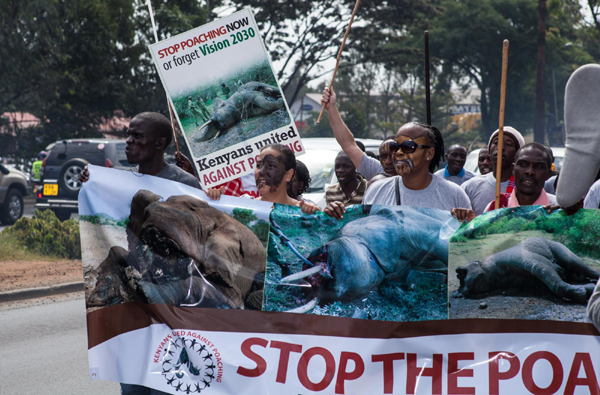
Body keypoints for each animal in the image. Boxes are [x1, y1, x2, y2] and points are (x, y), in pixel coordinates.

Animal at [86, 190, 264, 310]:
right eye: (147, 213)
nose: (154, 235)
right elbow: (117, 251)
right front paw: (99, 300)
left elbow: (230, 298)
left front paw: (147, 292)